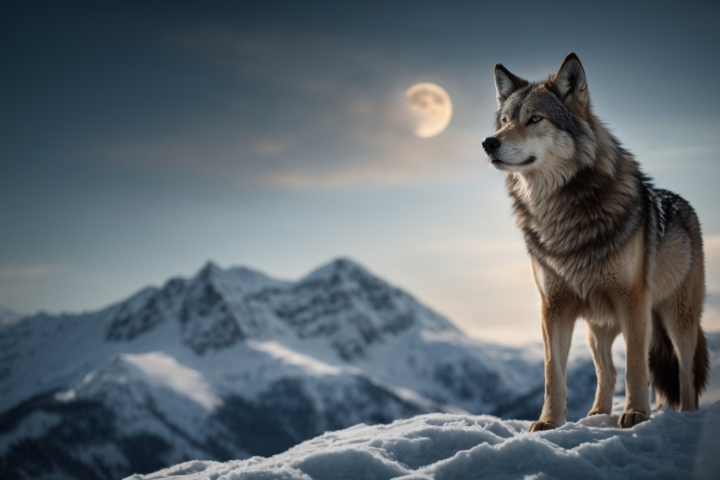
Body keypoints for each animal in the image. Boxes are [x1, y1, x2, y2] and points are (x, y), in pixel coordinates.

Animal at [483, 53, 709, 430]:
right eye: (504, 121)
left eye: (535, 119)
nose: (489, 143)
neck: (561, 214)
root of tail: (683, 203)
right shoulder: (554, 306)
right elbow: (553, 372)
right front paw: (549, 422)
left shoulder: (633, 300)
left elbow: (636, 366)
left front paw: (636, 414)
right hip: (598, 326)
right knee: (608, 372)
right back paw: (598, 415)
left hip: (676, 320)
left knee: (684, 374)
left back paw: (684, 416)